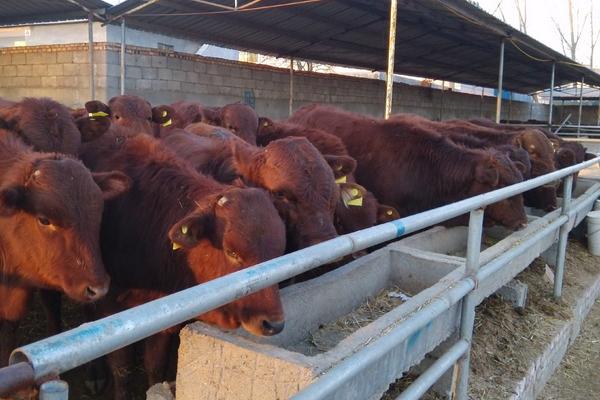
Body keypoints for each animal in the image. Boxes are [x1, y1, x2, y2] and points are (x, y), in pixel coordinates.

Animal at [80, 133, 286, 398]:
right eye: (232, 252)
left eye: (279, 252)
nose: (273, 324)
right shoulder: (109, 310)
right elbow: (121, 369)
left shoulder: (164, 315)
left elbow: (155, 366)